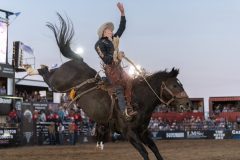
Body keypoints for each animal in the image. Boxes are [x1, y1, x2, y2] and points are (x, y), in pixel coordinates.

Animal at [27, 13, 191, 159]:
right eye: (175, 86)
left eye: (180, 84)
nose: (188, 103)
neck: (139, 100)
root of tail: (78, 61)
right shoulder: (129, 133)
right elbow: (145, 153)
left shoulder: (144, 132)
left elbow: (155, 150)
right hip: (58, 83)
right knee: (46, 73)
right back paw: (30, 69)